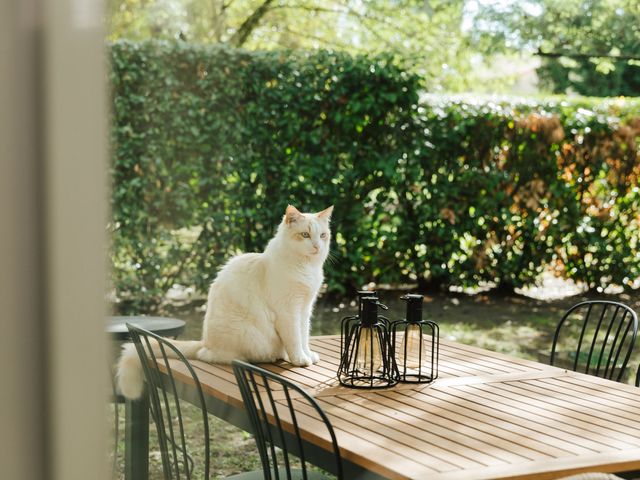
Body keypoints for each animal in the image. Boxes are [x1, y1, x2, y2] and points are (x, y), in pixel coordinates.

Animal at [117, 204, 332, 400]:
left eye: (322, 236)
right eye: (305, 235)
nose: (317, 246)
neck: (305, 268)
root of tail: (204, 341)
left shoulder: (305, 309)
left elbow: (303, 336)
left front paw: (307, 355)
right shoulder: (289, 311)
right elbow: (295, 339)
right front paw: (300, 360)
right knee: (214, 356)